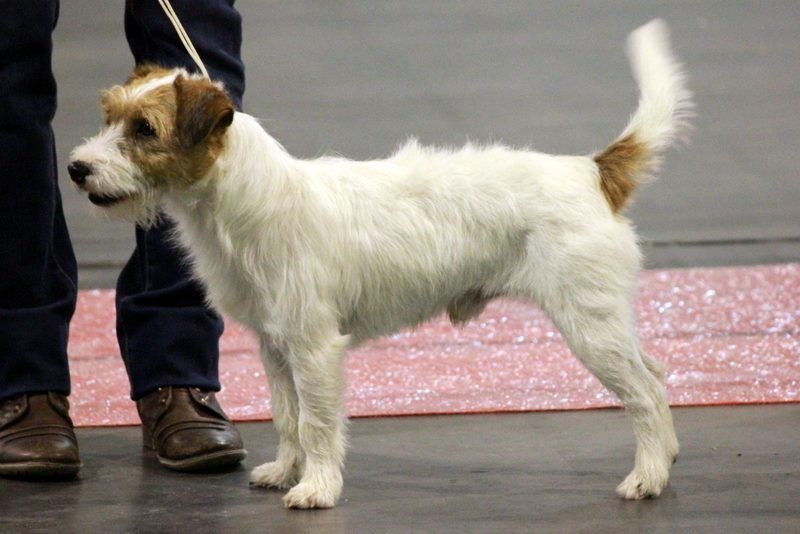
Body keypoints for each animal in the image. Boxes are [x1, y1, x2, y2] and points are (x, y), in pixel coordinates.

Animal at [69, 19, 691, 509]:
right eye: (108, 116)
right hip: (603, 321)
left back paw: (647, 478)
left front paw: (316, 487)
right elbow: (286, 416)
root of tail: (591, 171)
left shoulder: (315, 347)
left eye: (144, 129)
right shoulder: (275, 346)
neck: (250, 201)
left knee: (643, 392)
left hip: (589, 325)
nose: (76, 168)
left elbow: (318, 423)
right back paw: (667, 458)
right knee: (657, 375)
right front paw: (285, 471)